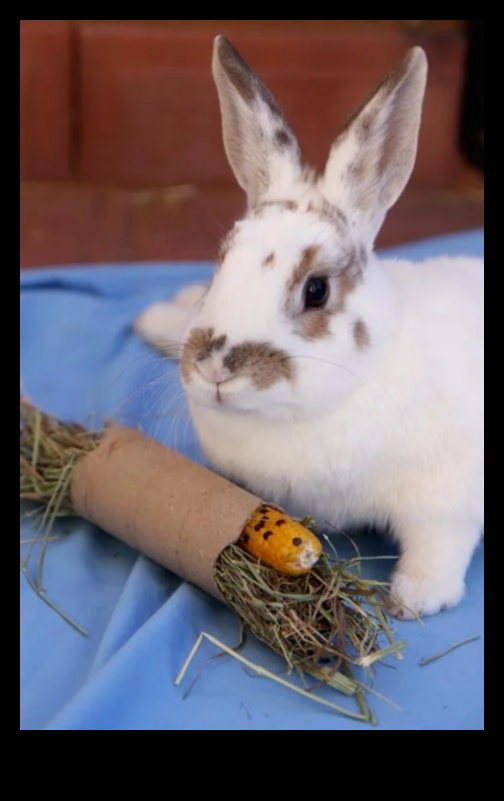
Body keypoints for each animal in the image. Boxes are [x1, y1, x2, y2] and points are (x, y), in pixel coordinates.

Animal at [135, 36, 484, 618]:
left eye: (316, 289)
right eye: (220, 262)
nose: (215, 368)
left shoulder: (445, 500)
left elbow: (440, 544)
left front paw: (414, 598)